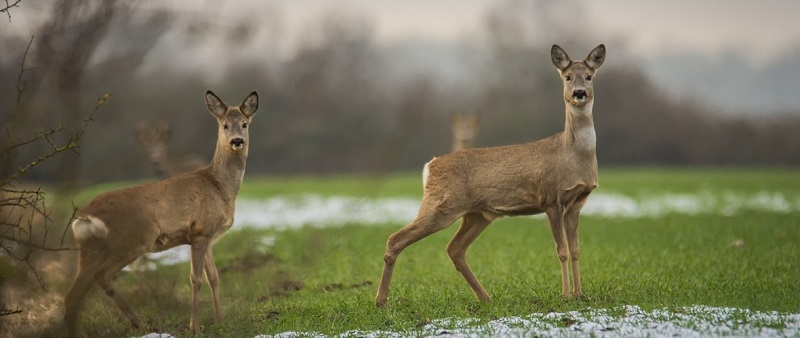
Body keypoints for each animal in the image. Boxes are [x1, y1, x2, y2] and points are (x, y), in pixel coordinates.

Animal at [66, 90, 260, 336]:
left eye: (244, 124)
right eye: (225, 125)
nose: (237, 141)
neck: (220, 186)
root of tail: (86, 216)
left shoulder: (207, 237)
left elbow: (214, 277)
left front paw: (220, 321)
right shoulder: (200, 232)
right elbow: (196, 279)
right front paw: (195, 327)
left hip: (90, 249)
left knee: (74, 293)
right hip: (134, 239)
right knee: (102, 276)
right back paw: (137, 323)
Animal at [376, 44, 608, 306]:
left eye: (589, 77)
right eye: (567, 77)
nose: (579, 93)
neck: (573, 154)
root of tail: (430, 166)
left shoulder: (577, 202)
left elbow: (577, 250)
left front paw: (580, 294)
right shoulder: (551, 199)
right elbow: (563, 251)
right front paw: (566, 295)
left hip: (477, 214)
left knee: (454, 248)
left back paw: (485, 297)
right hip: (441, 205)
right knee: (396, 239)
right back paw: (381, 301)